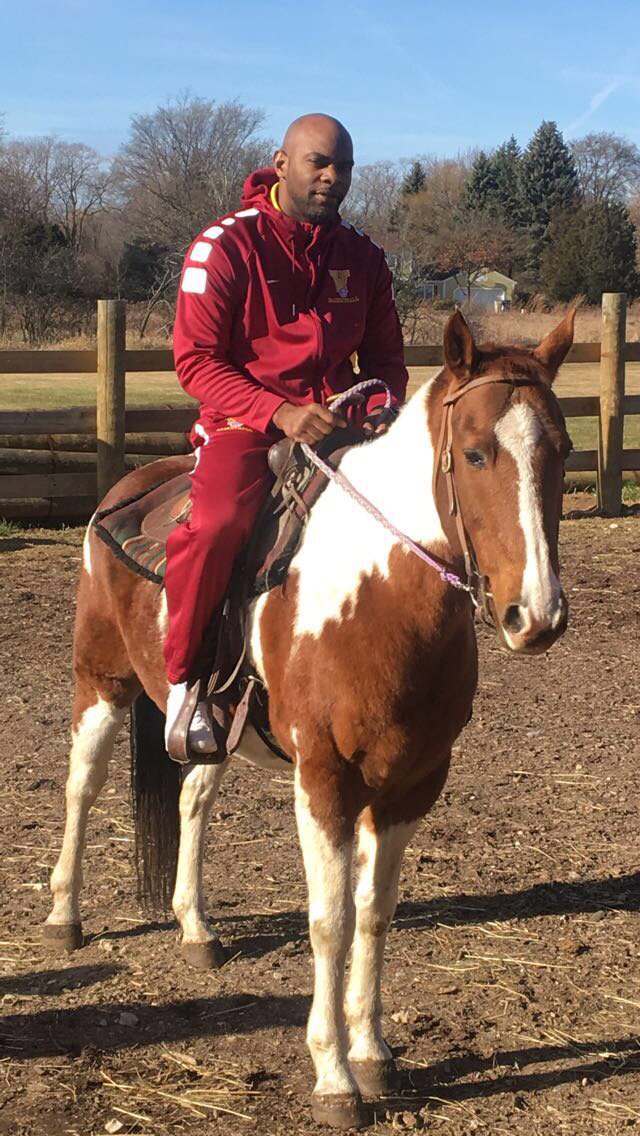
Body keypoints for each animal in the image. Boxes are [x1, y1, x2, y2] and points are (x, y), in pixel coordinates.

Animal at [43, 309, 574, 1129]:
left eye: (564, 450)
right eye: (477, 453)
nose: (536, 614)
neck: (379, 592)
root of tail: (131, 483)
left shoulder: (411, 785)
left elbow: (375, 912)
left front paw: (373, 1052)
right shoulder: (325, 779)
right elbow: (330, 919)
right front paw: (332, 1074)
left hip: (211, 727)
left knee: (193, 798)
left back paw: (196, 927)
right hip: (99, 683)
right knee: (82, 787)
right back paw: (65, 917)